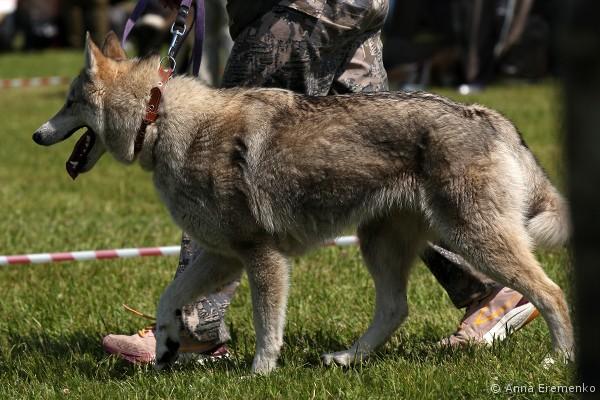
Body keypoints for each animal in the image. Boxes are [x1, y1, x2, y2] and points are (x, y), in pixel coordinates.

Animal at [33, 32, 573, 374]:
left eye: (69, 103)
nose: (37, 135)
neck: (159, 117)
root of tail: (490, 117)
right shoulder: (222, 256)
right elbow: (171, 298)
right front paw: (165, 346)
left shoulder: (261, 258)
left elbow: (266, 326)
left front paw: (259, 374)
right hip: (384, 244)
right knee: (395, 309)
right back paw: (347, 360)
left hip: (471, 239)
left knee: (551, 292)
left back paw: (559, 360)